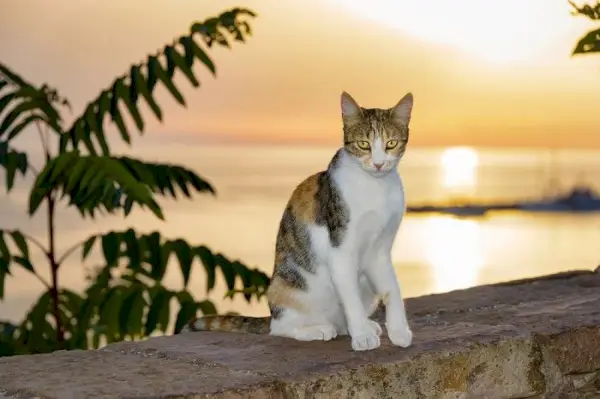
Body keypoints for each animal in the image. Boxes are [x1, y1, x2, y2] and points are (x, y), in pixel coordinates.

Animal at [183, 92, 414, 352]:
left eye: (391, 143)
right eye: (363, 144)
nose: (378, 163)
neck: (376, 187)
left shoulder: (380, 250)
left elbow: (392, 289)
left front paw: (398, 331)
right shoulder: (341, 249)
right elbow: (351, 297)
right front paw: (362, 336)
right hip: (287, 289)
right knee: (280, 328)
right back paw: (319, 330)